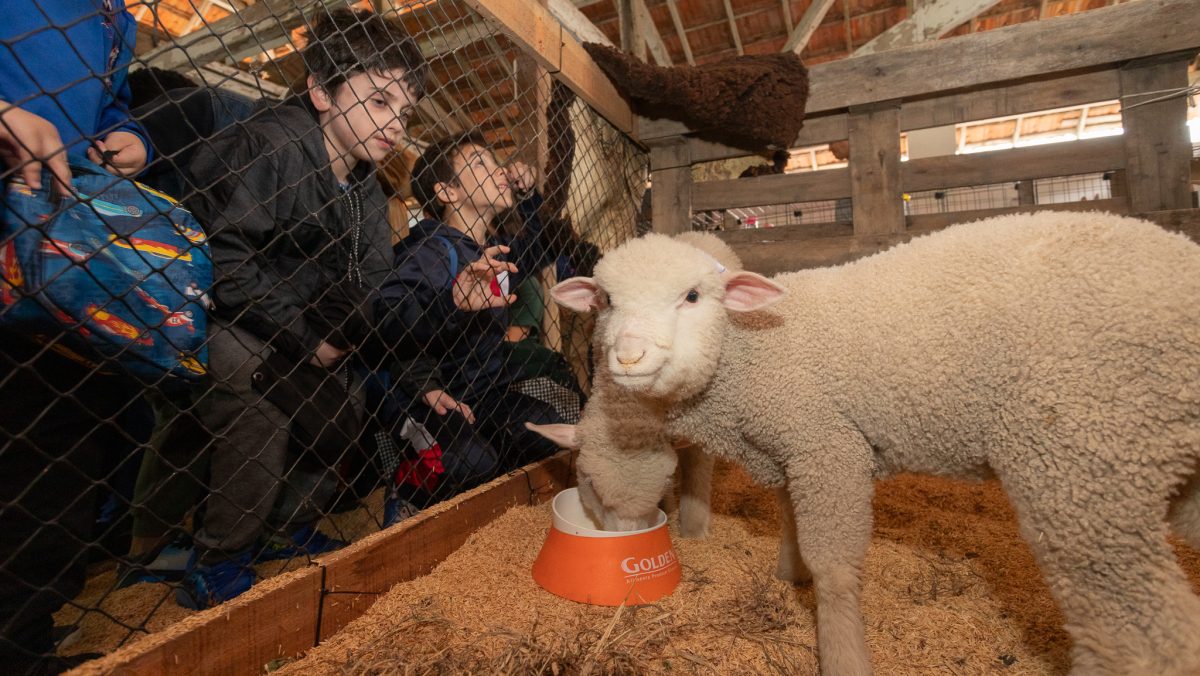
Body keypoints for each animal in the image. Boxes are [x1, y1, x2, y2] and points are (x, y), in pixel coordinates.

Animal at [544, 211, 1200, 676]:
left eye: (693, 297)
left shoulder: (828, 445)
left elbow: (835, 571)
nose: (629, 356)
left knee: (1138, 641)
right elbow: (789, 514)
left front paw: (842, 656)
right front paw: (788, 575)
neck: (748, 352)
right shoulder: (791, 446)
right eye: (605, 301)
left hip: (1081, 464)